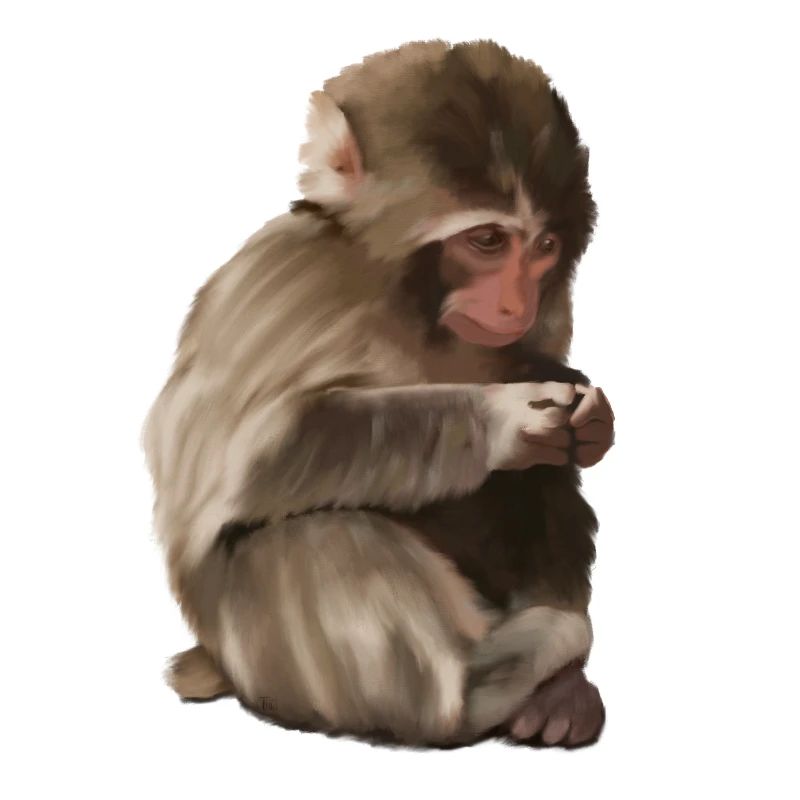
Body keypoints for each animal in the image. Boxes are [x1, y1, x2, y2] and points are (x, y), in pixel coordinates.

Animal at [144, 40, 615, 748]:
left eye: (545, 246)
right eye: (487, 240)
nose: (517, 305)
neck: (411, 301)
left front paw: (586, 411)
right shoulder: (283, 280)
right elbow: (244, 456)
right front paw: (506, 416)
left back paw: (560, 689)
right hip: (263, 659)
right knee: (315, 537)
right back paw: (492, 682)